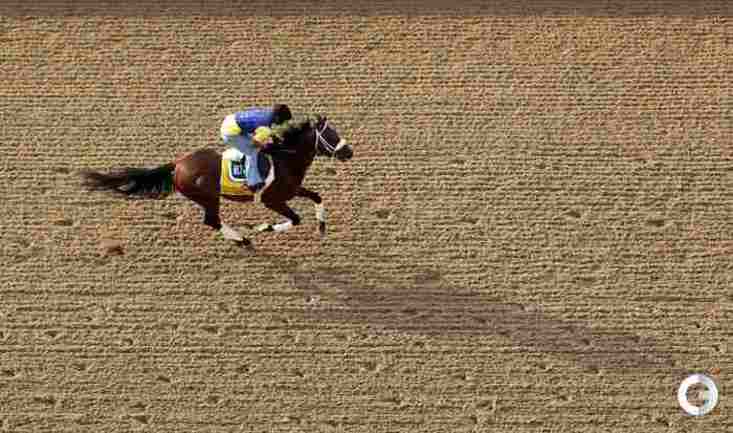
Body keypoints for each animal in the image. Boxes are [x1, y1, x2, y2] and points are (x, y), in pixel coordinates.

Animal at [80, 115, 353, 247]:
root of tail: (178, 164)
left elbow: (317, 197)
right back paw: (242, 239)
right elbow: (295, 219)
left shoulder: (291, 190)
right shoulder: (272, 200)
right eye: (330, 135)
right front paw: (262, 228)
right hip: (208, 196)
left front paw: (322, 226)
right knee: (211, 220)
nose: (348, 152)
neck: (284, 158)